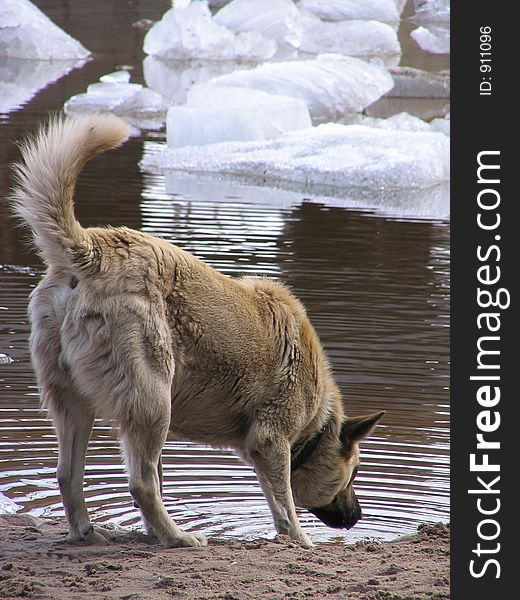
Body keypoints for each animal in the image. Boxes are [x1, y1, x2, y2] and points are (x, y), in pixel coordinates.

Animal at [10, 113, 384, 548]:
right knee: (141, 482)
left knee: (69, 474)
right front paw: (301, 543)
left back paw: (89, 532)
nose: (357, 517)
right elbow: (285, 508)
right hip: (153, 401)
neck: (315, 420)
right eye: (354, 474)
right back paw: (178, 537)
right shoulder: (271, 441)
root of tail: (92, 250)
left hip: (72, 401)